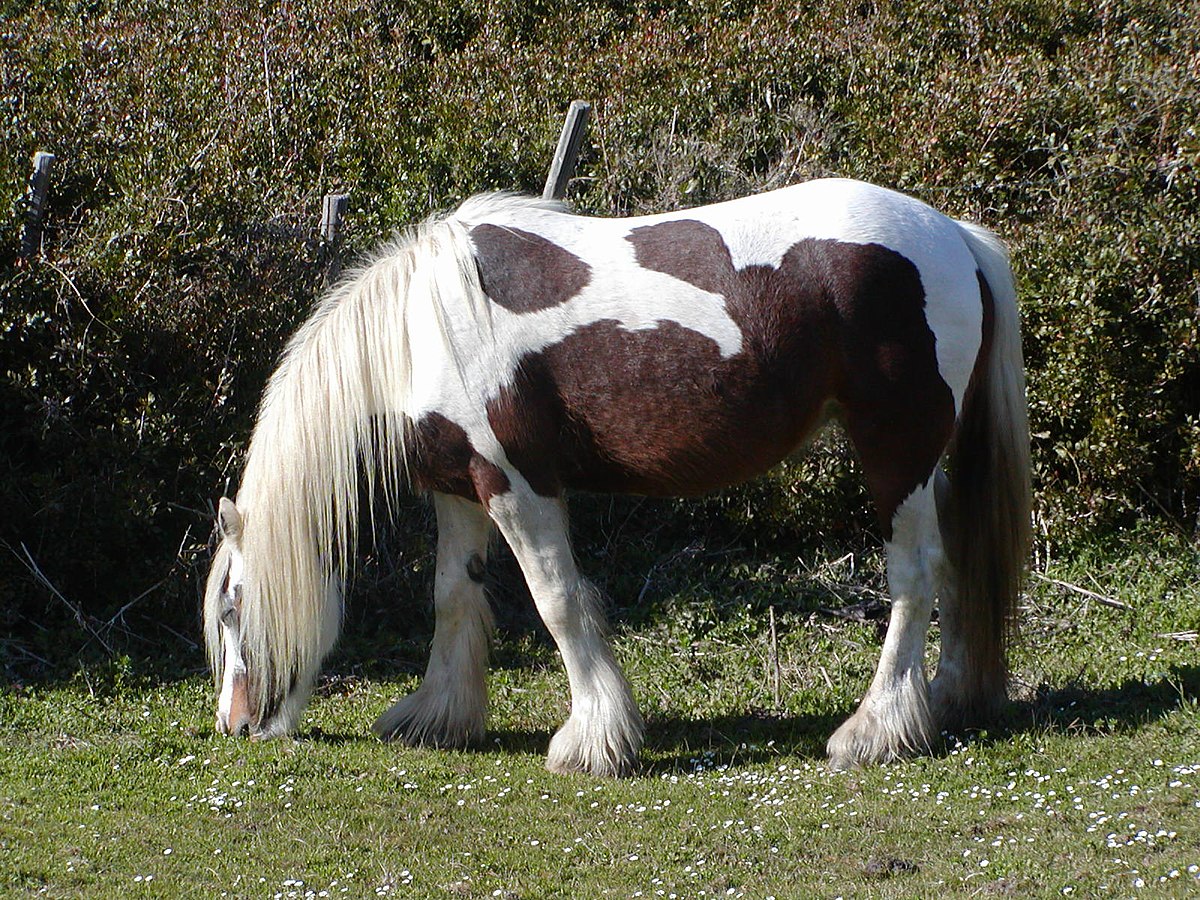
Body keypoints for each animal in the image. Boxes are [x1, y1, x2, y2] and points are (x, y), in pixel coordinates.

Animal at [204, 181, 1032, 777]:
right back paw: (946, 698)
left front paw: (593, 741)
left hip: (896, 451)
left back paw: (875, 729)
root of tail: (954, 236)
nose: (237, 725)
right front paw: (437, 716)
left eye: (233, 608)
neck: (424, 329)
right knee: (955, 568)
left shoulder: (519, 483)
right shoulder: (459, 487)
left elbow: (559, 601)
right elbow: (451, 596)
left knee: (914, 576)